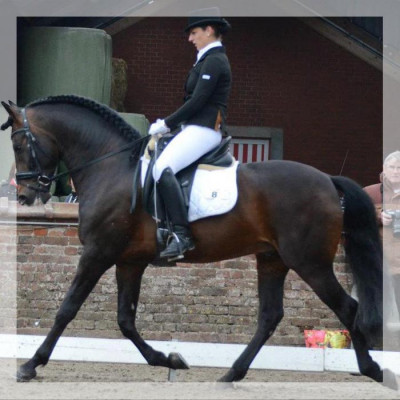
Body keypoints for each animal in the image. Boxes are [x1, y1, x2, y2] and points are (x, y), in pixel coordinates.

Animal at [0, 95, 394, 386]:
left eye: (18, 142)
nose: (25, 196)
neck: (111, 167)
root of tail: (328, 180)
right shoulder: (129, 261)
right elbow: (126, 320)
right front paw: (168, 359)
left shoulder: (98, 252)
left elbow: (67, 309)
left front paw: (31, 365)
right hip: (273, 260)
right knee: (270, 316)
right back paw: (233, 373)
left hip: (310, 263)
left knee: (348, 309)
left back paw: (372, 369)